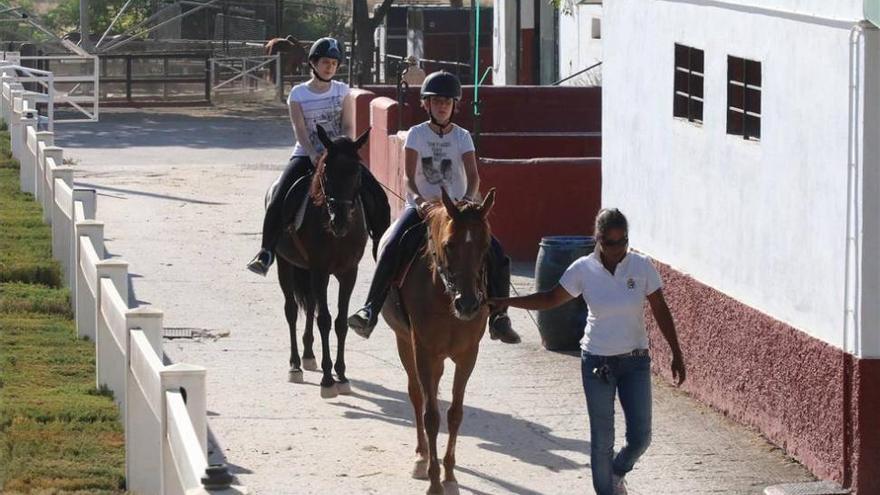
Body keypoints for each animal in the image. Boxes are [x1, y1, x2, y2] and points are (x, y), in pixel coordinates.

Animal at [276, 125, 372, 400]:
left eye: (357, 171)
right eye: (327, 171)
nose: (339, 221)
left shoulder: (348, 273)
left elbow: (339, 322)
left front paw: (341, 375)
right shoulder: (320, 271)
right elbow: (325, 320)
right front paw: (328, 380)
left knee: (309, 306)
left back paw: (309, 356)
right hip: (284, 264)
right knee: (291, 310)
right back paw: (295, 364)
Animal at [384, 188, 498, 494]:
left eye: (485, 246)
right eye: (449, 245)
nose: (468, 304)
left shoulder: (468, 355)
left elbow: (455, 413)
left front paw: (449, 475)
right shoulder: (422, 350)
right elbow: (431, 416)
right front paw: (435, 481)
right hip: (405, 343)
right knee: (417, 395)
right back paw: (421, 457)